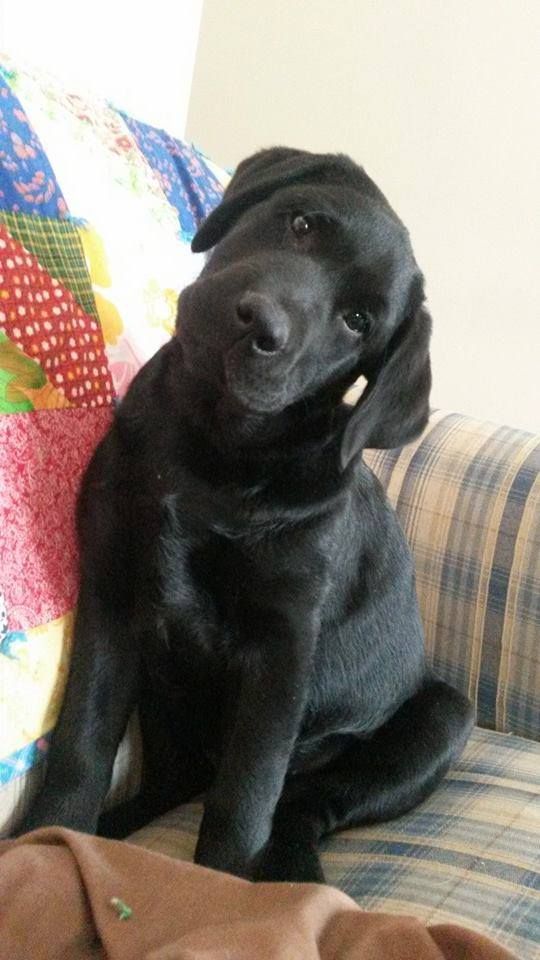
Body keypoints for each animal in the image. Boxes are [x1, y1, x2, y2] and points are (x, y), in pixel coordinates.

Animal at [15, 146, 472, 880]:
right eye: (302, 223)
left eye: (358, 322)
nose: (263, 322)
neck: (215, 450)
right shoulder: (112, 593)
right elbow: (82, 744)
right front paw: (47, 841)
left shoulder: (282, 646)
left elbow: (245, 795)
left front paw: (220, 886)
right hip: (167, 700)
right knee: (177, 780)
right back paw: (115, 830)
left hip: (440, 717)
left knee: (301, 807)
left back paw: (291, 874)